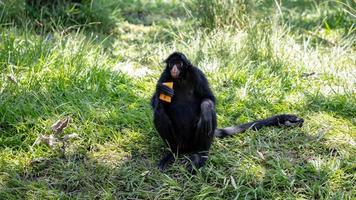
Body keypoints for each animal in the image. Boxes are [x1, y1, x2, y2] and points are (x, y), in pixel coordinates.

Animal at [150, 52, 304, 173]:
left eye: (179, 64)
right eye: (171, 64)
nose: (174, 68)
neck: (180, 78)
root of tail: (186, 146)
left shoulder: (196, 73)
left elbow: (209, 99)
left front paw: (206, 107)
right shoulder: (165, 75)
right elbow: (155, 102)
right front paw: (161, 90)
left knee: (208, 116)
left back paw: (200, 155)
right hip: (179, 139)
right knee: (159, 112)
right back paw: (173, 152)